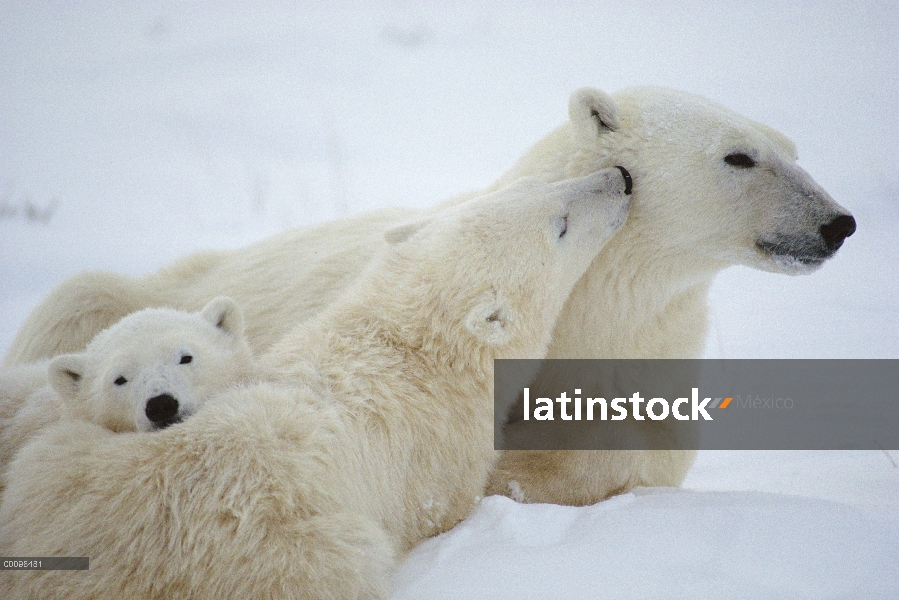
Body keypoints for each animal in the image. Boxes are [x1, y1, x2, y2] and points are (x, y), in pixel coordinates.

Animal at [3, 85, 856, 506]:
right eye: (738, 156)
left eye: (792, 147)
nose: (837, 222)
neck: (585, 308)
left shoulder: (650, 367)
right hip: (116, 293)